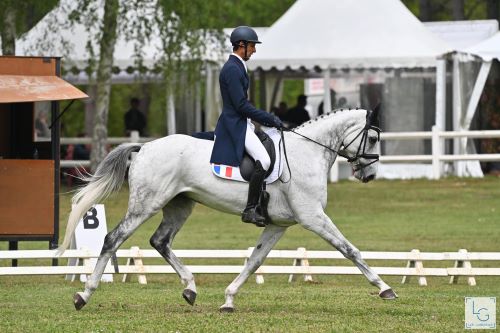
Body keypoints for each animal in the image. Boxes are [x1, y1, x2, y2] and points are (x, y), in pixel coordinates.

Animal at [58, 106, 396, 312]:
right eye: (373, 137)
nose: (369, 175)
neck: (307, 152)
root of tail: (144, 147)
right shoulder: (312, 217)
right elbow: (349, 250)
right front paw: (384, 288)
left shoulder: (278, 224)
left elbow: (254, 261)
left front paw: (229, 299)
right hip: (146, 203)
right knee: (113, 239)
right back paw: (83, 294)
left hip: (179, 206)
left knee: (160, 241)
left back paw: (190, 288)